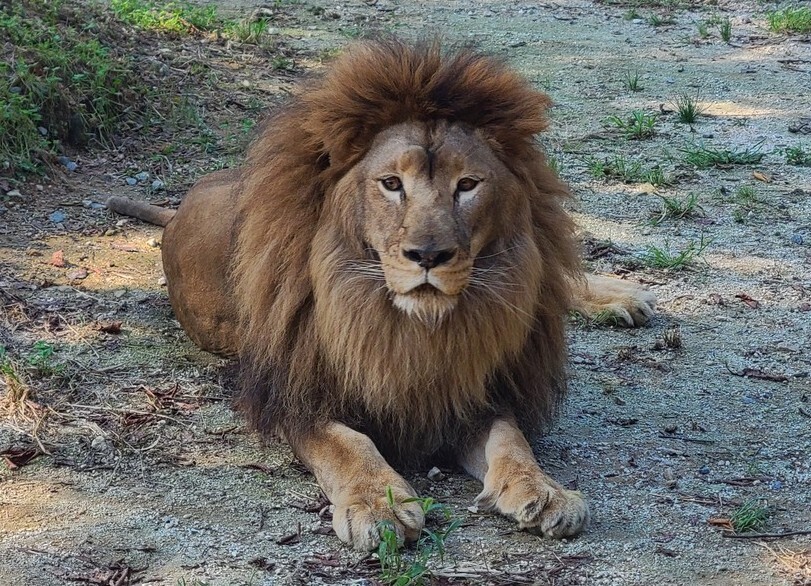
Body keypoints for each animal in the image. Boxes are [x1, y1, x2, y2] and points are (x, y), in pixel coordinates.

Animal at [108, 40, 656, 548]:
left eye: (468, 185)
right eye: (391, 183)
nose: (428, 255)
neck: (408, 327)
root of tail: (180, 207)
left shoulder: (472, 391)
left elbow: (512, 441)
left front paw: (544, 490)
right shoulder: (295, 395)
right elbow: (347, 443)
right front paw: (378, 502)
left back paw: (622, 297)